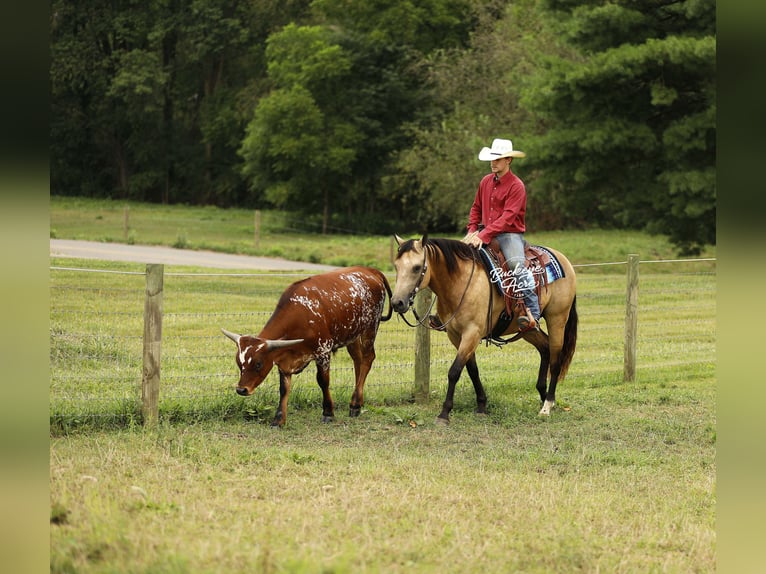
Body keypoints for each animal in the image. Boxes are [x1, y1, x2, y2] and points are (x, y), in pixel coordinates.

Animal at [391, 235, 578, 421]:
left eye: (416, 267)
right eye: (396, 266)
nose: (397, 303)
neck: (460, 283)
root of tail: (563, 259)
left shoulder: (472, 333)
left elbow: (454, 371)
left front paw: (444, 413)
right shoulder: (455, 335)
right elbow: (472, 370)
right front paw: (481, 405)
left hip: (557, 319)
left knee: (555, 361)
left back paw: (547, 405)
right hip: (528, 329)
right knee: (545, 348)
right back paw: (543, 394)